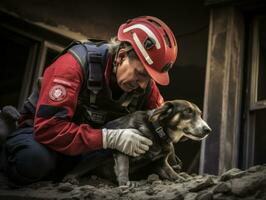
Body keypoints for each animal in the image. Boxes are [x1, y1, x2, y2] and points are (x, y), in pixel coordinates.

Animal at [63, 100, 211, 186]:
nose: (208, 130)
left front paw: (181, 178)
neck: (157, 132)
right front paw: (125, 185)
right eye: (188, 112)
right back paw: (71, 179)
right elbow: (123, 169)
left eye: (200, 114)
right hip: (98, 154)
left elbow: (172, 173)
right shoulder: (122, 150)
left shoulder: (160, 163)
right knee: (73, 172)